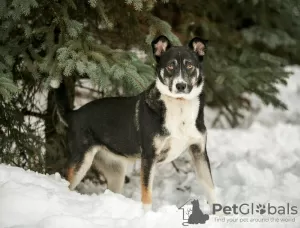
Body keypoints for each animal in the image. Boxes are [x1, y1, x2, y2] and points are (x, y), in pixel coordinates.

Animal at [64, 35, 217, 212]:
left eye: (190, 65)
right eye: (170, 66)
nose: (180, 85)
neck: (179, 106)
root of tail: (74, 114)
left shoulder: (199, 151)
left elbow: (210, 187)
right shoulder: (149, 156)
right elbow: (146, 194)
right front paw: (146, 215)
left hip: (115, 171)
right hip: (81, 161)